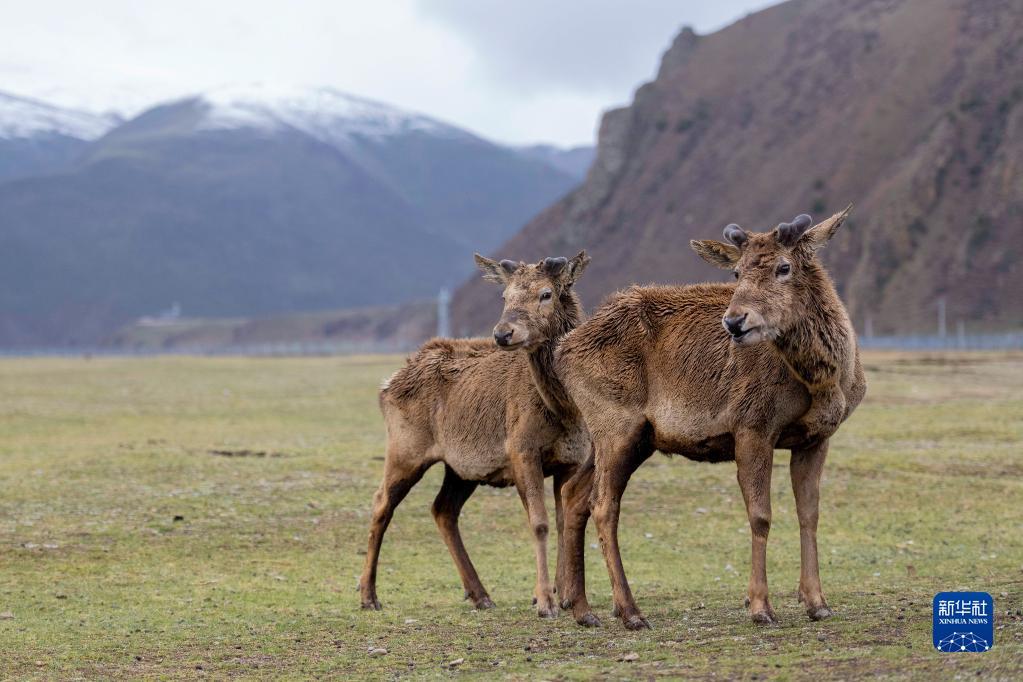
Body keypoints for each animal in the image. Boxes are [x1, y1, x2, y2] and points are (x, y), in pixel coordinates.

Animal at [360, 252, 597, 625]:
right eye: (505, 296)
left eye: (545, 293)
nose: (502, 333)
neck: (564, 408)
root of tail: (387, 386)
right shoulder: (521, 450)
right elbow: (540, 523)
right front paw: (544, 601)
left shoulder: (571, 460)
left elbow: (562, 522)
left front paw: (564, 597)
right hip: (405, 450)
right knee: (381, 503)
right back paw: (368, 596)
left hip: (461, 469)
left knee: (443, 509)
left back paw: (480, 594)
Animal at [556, 206, 867, 629]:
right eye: (736, 273)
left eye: (784, 267)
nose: (734, 321)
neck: (825, 381)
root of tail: (562, 351)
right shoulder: (752, 424)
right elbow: (761, 515)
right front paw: (760, 606)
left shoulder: (816, 437)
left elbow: (810, 513)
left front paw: (817, 601)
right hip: (616, 425)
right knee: (603, 505)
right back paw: (631, 611)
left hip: (622, 438)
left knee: (574, 495)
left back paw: (584, 610)